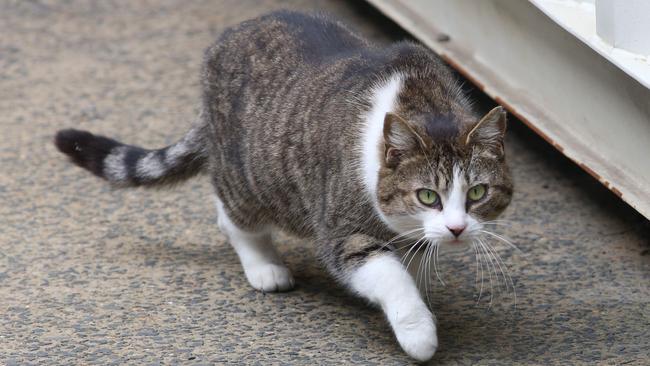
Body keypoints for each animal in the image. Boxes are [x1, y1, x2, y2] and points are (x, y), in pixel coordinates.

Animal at [54, 10, 512, 362]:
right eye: (428, 196)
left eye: (477, 193)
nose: (457, 229)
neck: (423, 101)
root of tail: (227, 38)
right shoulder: (343, 232)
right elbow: (389, 276)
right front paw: (418, 331)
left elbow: (412, 262)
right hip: (251, 178)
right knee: (231, 215)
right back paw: (264, 265)